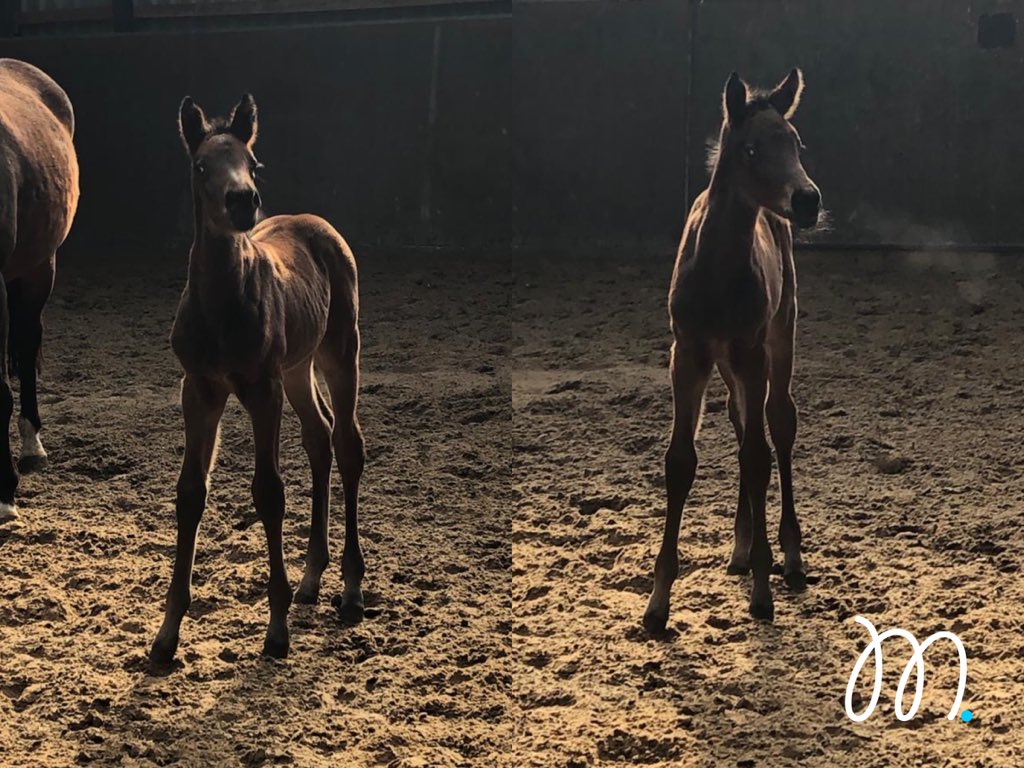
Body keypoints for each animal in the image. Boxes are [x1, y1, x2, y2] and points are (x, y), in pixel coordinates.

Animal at [150, 94, 366, 663]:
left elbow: (268, 491)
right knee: (319, 436)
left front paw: (276, 628)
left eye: (253, 163)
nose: (244, 201)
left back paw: (351, 589)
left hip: (340, 351)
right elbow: (189, 492)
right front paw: (166, 635)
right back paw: (313, 578)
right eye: (201, 166)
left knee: (347, 444)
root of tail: (318, 224)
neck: (222, 307)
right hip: (296, 367)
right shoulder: (199, 390)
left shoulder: (262, 390)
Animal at [644, 69, 821, 633]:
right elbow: (681, 460)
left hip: (778, 339)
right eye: (750, 149)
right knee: (743, 421)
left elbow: (759, 456)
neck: (718, 272)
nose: (807, 201)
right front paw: (657, 603)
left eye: (797, 144)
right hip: (727, 365)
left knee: (778, 425)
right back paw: (741, 548)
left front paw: (763, 591)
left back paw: (789, 556)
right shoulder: (688, 355)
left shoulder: (752, 351)